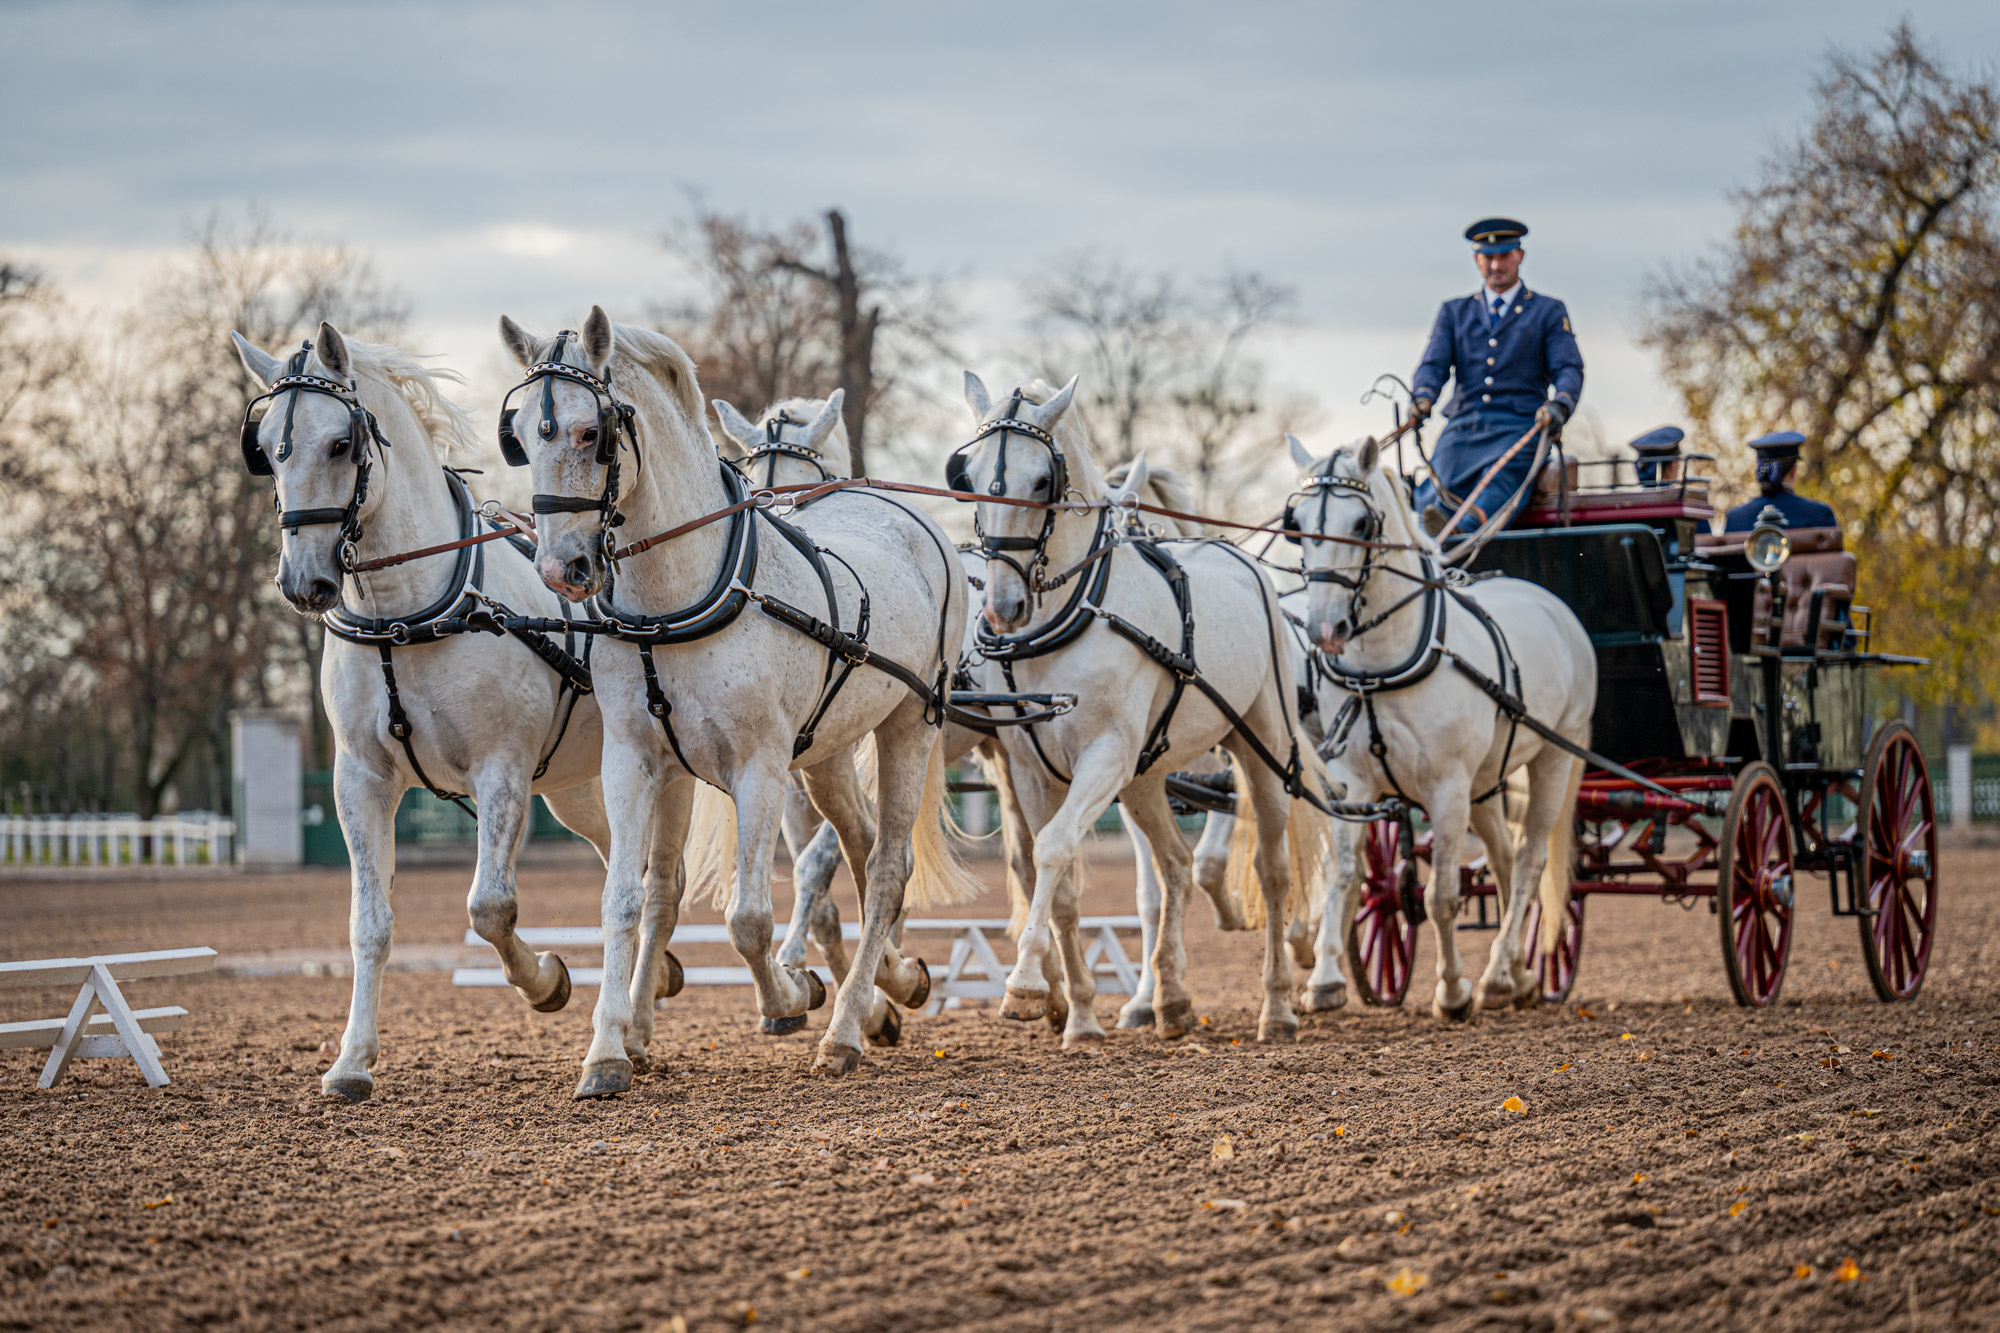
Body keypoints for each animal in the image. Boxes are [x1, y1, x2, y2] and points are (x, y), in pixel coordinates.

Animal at [232, 322, 622, 1102]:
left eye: (341, 444)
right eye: (267, 450)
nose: (302, 582)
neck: (403, 618)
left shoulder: (501, 771)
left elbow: (489, 906)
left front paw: (545, 982)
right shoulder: (360, 779)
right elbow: (370, 922)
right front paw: (352, 1061)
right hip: (579, 789)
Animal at [498, 307, 974, 1091]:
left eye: (592, 431)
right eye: (520, 436)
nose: (561, 568)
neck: (675, 597)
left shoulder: (759, 765)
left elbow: (747, 918)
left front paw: (792, 994)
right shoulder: (634, 760)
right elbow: (626, 899)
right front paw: (606, 1052)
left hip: (911, 722)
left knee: (885, 870)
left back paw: (843, 1029)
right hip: (828, 754)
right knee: (863, 847)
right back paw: (891, 985)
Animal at [953, 372, 1329, 1046]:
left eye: (1043, 481)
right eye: (965, 475)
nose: (1002, 607)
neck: (1071, 618)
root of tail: (1242, 559)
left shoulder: (1106, 757)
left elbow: (1053, 850)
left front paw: (1023, 985)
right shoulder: (1032, 768)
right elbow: (1060, 880)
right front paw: (1079, 1014)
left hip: (1260, 745)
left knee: (1273, 869)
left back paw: (1279, 1004)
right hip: (1147, 776)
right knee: (1176, 866)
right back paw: (1172, 1000)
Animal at [1287, 433, 1593, 1019]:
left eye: (1361, 523)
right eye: (1296, 524)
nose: (1325, 628)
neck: (1381, 667)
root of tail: (1551, 602)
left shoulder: (1446, 788)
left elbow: (1441, 897)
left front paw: (1452, 990)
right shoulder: (1354, 783)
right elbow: (1344, 877)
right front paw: (1325, 982)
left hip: (1553, 759)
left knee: (1529, 860)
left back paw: (1495, 976)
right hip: (1485, 784)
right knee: (1502, 859)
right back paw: (1517, 975)